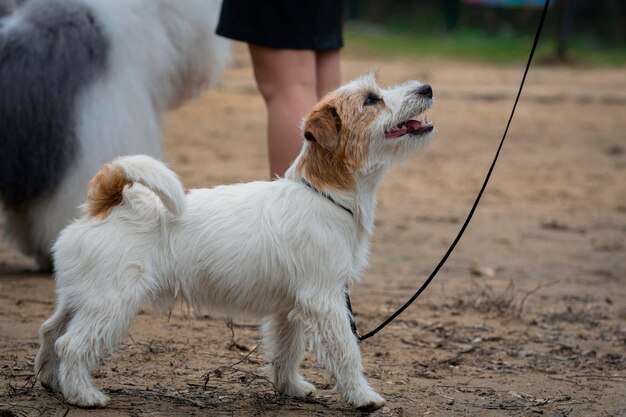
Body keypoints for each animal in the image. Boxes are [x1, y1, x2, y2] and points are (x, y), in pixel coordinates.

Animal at [34, 75, 434, 410]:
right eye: (371, 99)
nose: (427, 88)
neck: (325, 194)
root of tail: (105, 203)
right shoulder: (325, 300)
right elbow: (347, 351)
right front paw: (363, 397)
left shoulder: (290, 307)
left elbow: (286, 350)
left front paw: (290, 387)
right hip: (110, 304)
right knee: (71, 344)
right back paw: (83, 395)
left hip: (80, 298)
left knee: (51, 331)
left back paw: (52, 382)